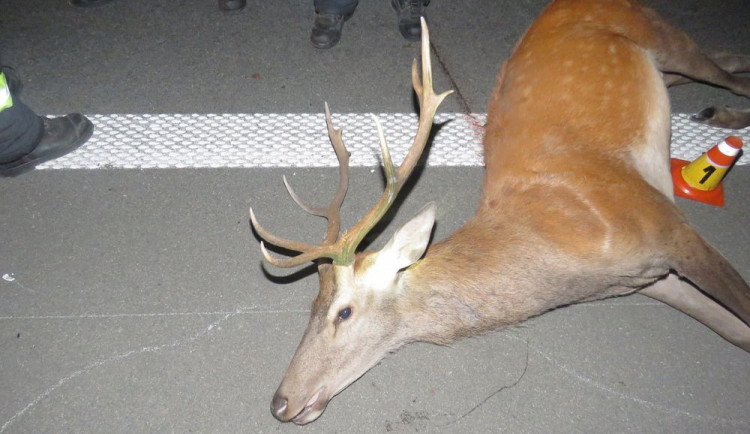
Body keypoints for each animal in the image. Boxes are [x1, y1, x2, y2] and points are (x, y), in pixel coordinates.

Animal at [250, 0, 748, 424]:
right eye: (310, 306)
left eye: (344, 313)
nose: (280, 403)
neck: (579, 259)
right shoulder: (653, 279)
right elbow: (737, 333)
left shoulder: (667, 225)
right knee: (723, 59)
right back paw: (713, 110)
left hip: (658, 31)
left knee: (725, 71)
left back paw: (724, 112)